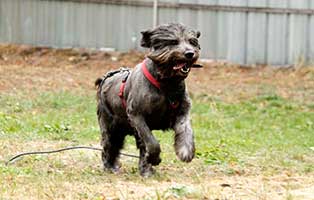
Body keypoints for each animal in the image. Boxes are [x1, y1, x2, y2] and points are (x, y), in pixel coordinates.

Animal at [95, 23, 201, 177]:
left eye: (192, 41)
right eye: (173, 42)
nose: (190, 53)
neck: (167, 83)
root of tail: (105, 79)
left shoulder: (182, 112)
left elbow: (186, 130)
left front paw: (186, 150)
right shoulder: (137, 116)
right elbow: (152, 142)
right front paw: (155, 158)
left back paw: (145, 169)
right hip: (111, 126)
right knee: (109, 146)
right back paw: (111, 167)